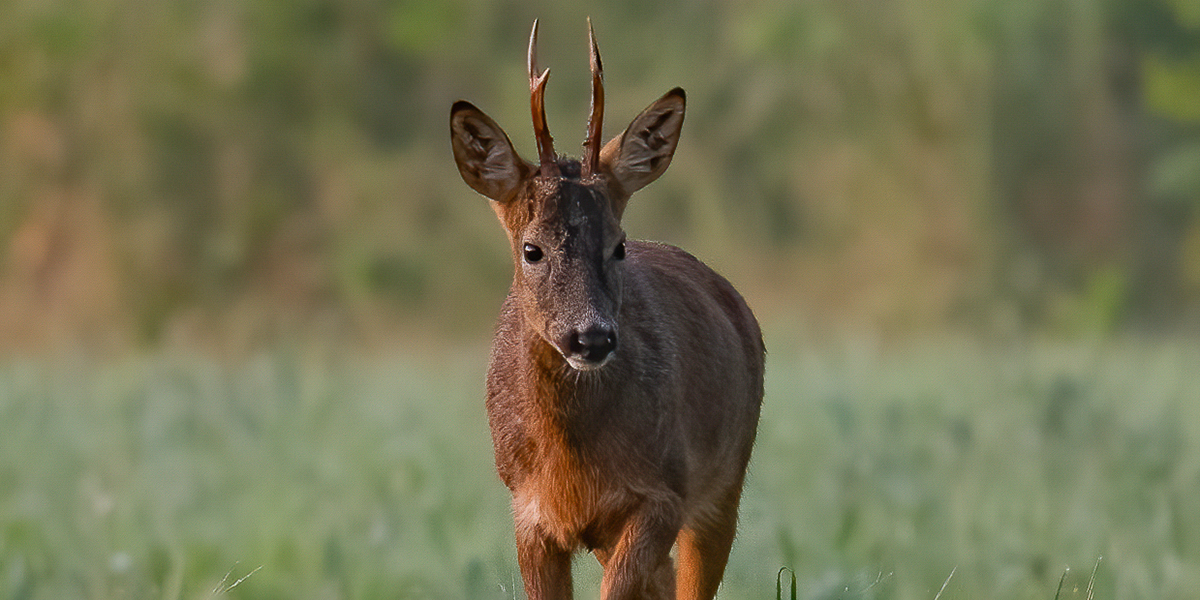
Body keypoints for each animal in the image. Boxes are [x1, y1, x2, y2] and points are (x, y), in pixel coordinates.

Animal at [451, 18, 768, 600]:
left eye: (618, 246)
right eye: (531, 249)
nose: (591, 337)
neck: (571, 468)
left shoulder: (663, 493)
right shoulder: (529, 515)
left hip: (725, 479)